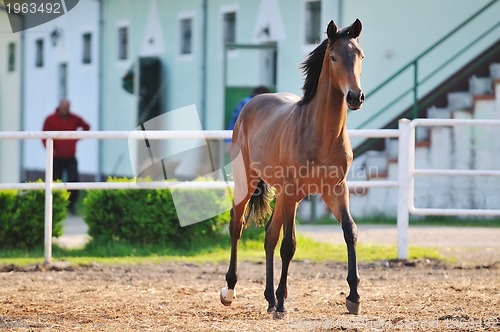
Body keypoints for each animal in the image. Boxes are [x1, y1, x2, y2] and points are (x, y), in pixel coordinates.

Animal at [221, 18, 366, 320]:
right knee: (237, 225)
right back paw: (230, 291)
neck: (321, 134)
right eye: (333, 57)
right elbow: (289, 245)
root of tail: (251, 104)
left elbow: (350, 231)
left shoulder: (335, 190)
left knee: (269, 236)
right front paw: (282, 304)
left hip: (286, 196)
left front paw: (354, 297)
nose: (355, 97)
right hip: (249, 183)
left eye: (360, 55)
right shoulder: (291, 191)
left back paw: (269, 297)